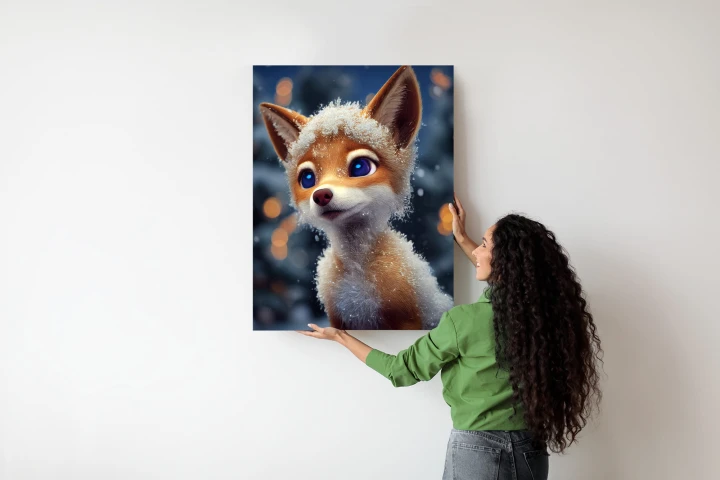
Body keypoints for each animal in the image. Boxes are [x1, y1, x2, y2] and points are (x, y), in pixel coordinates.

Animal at [259, 65, 453, 330]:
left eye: (360, 167)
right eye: (307, 179)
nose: (321, 195)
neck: (357, 275)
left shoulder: (404, 316)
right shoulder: (339, 318)